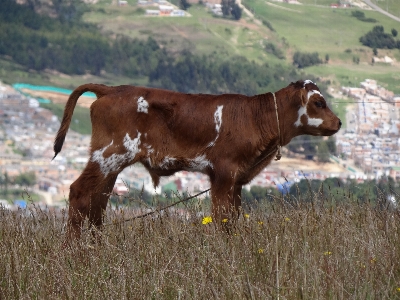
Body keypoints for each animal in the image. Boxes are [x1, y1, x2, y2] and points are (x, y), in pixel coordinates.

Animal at [52, 79, 340, 239]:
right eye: (319, 103)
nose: (338, 122)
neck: (255, 117)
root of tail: (111, 90)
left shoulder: (236, 180)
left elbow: (233, 216)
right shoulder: (224, 173)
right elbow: (223, 218)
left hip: (110, 164)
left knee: (97, 203)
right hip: (109, 155)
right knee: (80, 194)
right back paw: (73, 251)